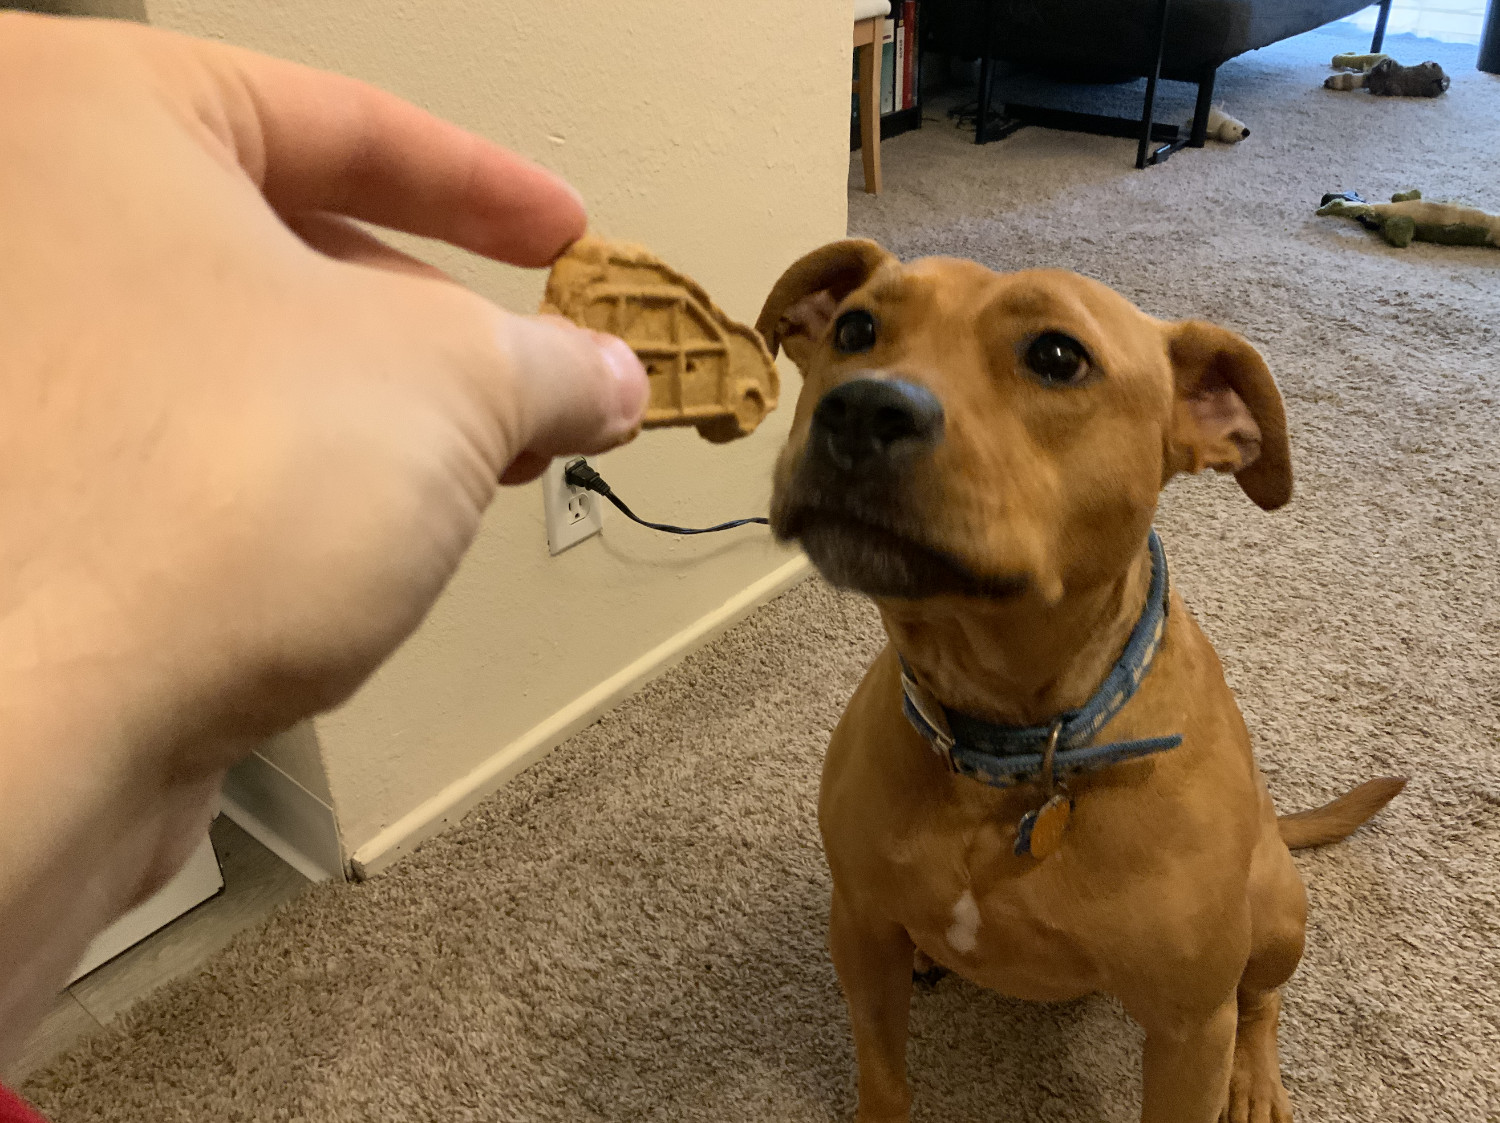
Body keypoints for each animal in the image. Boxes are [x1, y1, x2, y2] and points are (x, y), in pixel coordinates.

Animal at [756, 241, 1398, 1115]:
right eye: (855, 329)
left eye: (1058, 357)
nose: (860, 408)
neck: (1010, 736)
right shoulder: (858, 927)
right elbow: (883, 1075)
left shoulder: (1189, 1029)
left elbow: (1220, 1026)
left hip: (1275, 914)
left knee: (1261, 999)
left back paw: (1257, 1078)